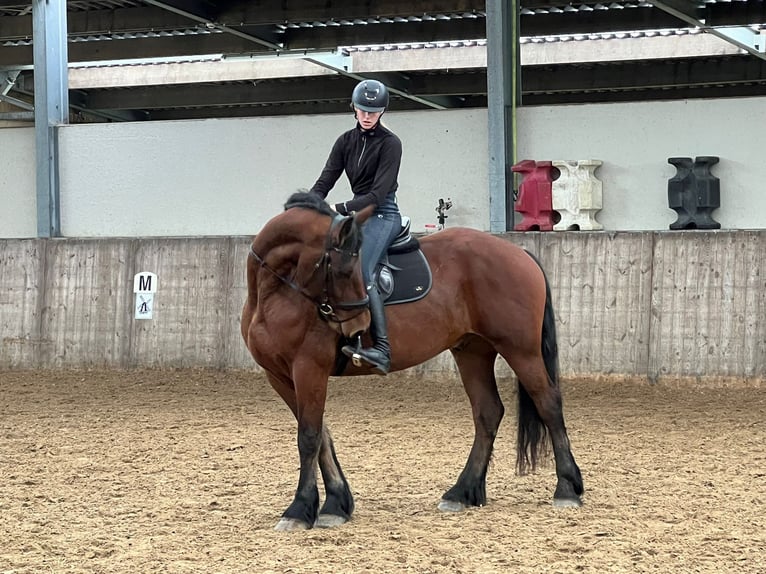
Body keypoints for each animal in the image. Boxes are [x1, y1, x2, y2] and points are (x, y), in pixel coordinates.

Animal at [243, 192, 584, 532]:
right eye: (343, 269)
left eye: (355, 268)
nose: (358, 326)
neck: (276, 292)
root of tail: (519, 253)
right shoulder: (280, 376)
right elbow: (322, 434)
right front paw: (336, 504)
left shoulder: (309, 369)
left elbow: (309, 437)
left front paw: (299, 509)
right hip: (473, 351)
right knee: (488, 412)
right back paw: (461, 492)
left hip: (520, 350)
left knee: (548, 403)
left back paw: (567, 489)